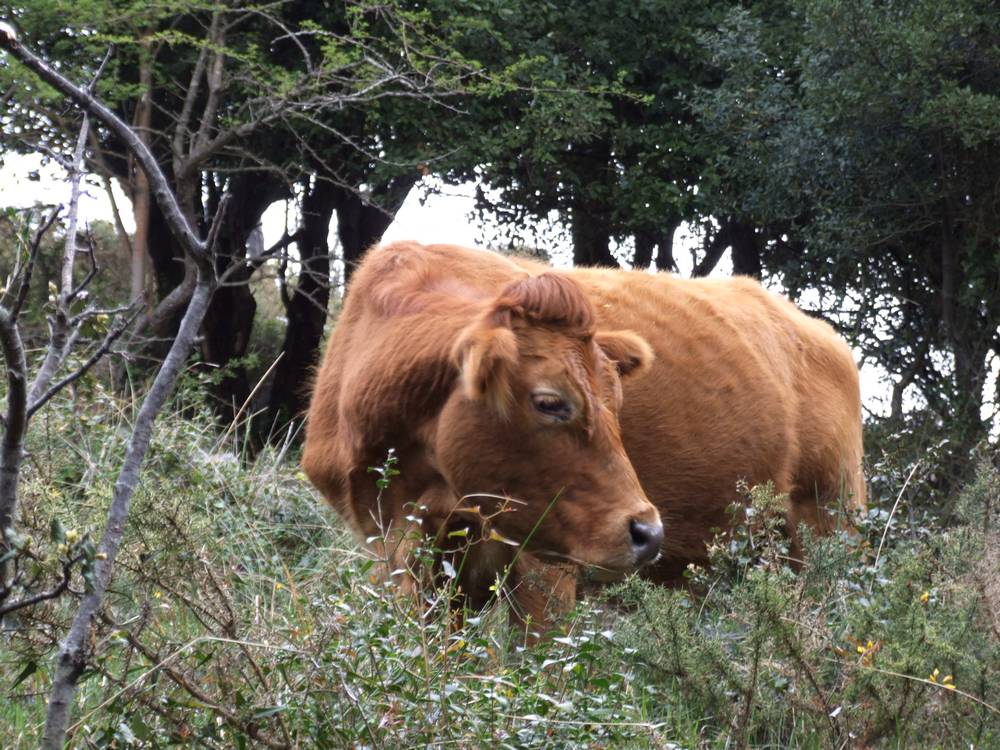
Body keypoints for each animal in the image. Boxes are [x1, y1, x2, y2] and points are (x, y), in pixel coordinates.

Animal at [298, 244, 868, 636]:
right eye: (551, 402)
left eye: (617, 402)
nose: (649, 532)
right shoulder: (403, 558)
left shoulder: (541, 560)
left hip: (830, 523)